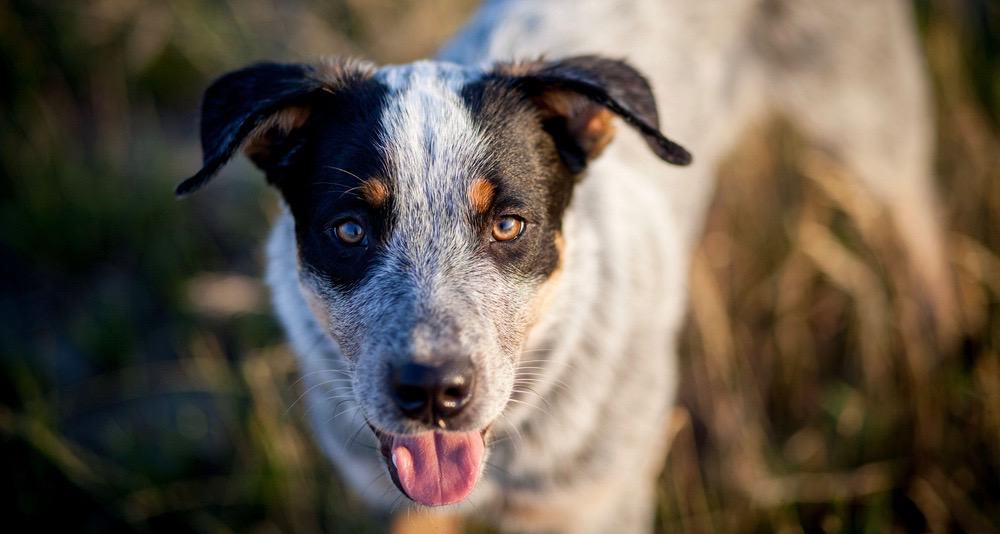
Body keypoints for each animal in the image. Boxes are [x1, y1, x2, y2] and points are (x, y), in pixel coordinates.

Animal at [180, 1, 952, 532]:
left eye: (508, 224)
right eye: (348, 230)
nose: (433, 392)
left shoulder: (593, 506)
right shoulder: (404, 504)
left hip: (868, 118)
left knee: (919, 229)